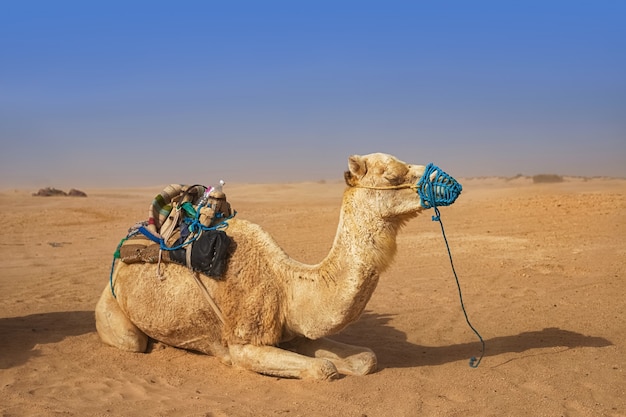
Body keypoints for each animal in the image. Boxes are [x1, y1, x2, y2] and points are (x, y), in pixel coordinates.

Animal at [94, 152, 454, 376]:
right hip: (113, 311)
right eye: (393, 175)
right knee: (133, 341)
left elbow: (366, 359)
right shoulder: (243, 344)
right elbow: (323, 369)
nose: (447, 180)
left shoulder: (294, 332)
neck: (288, 284)